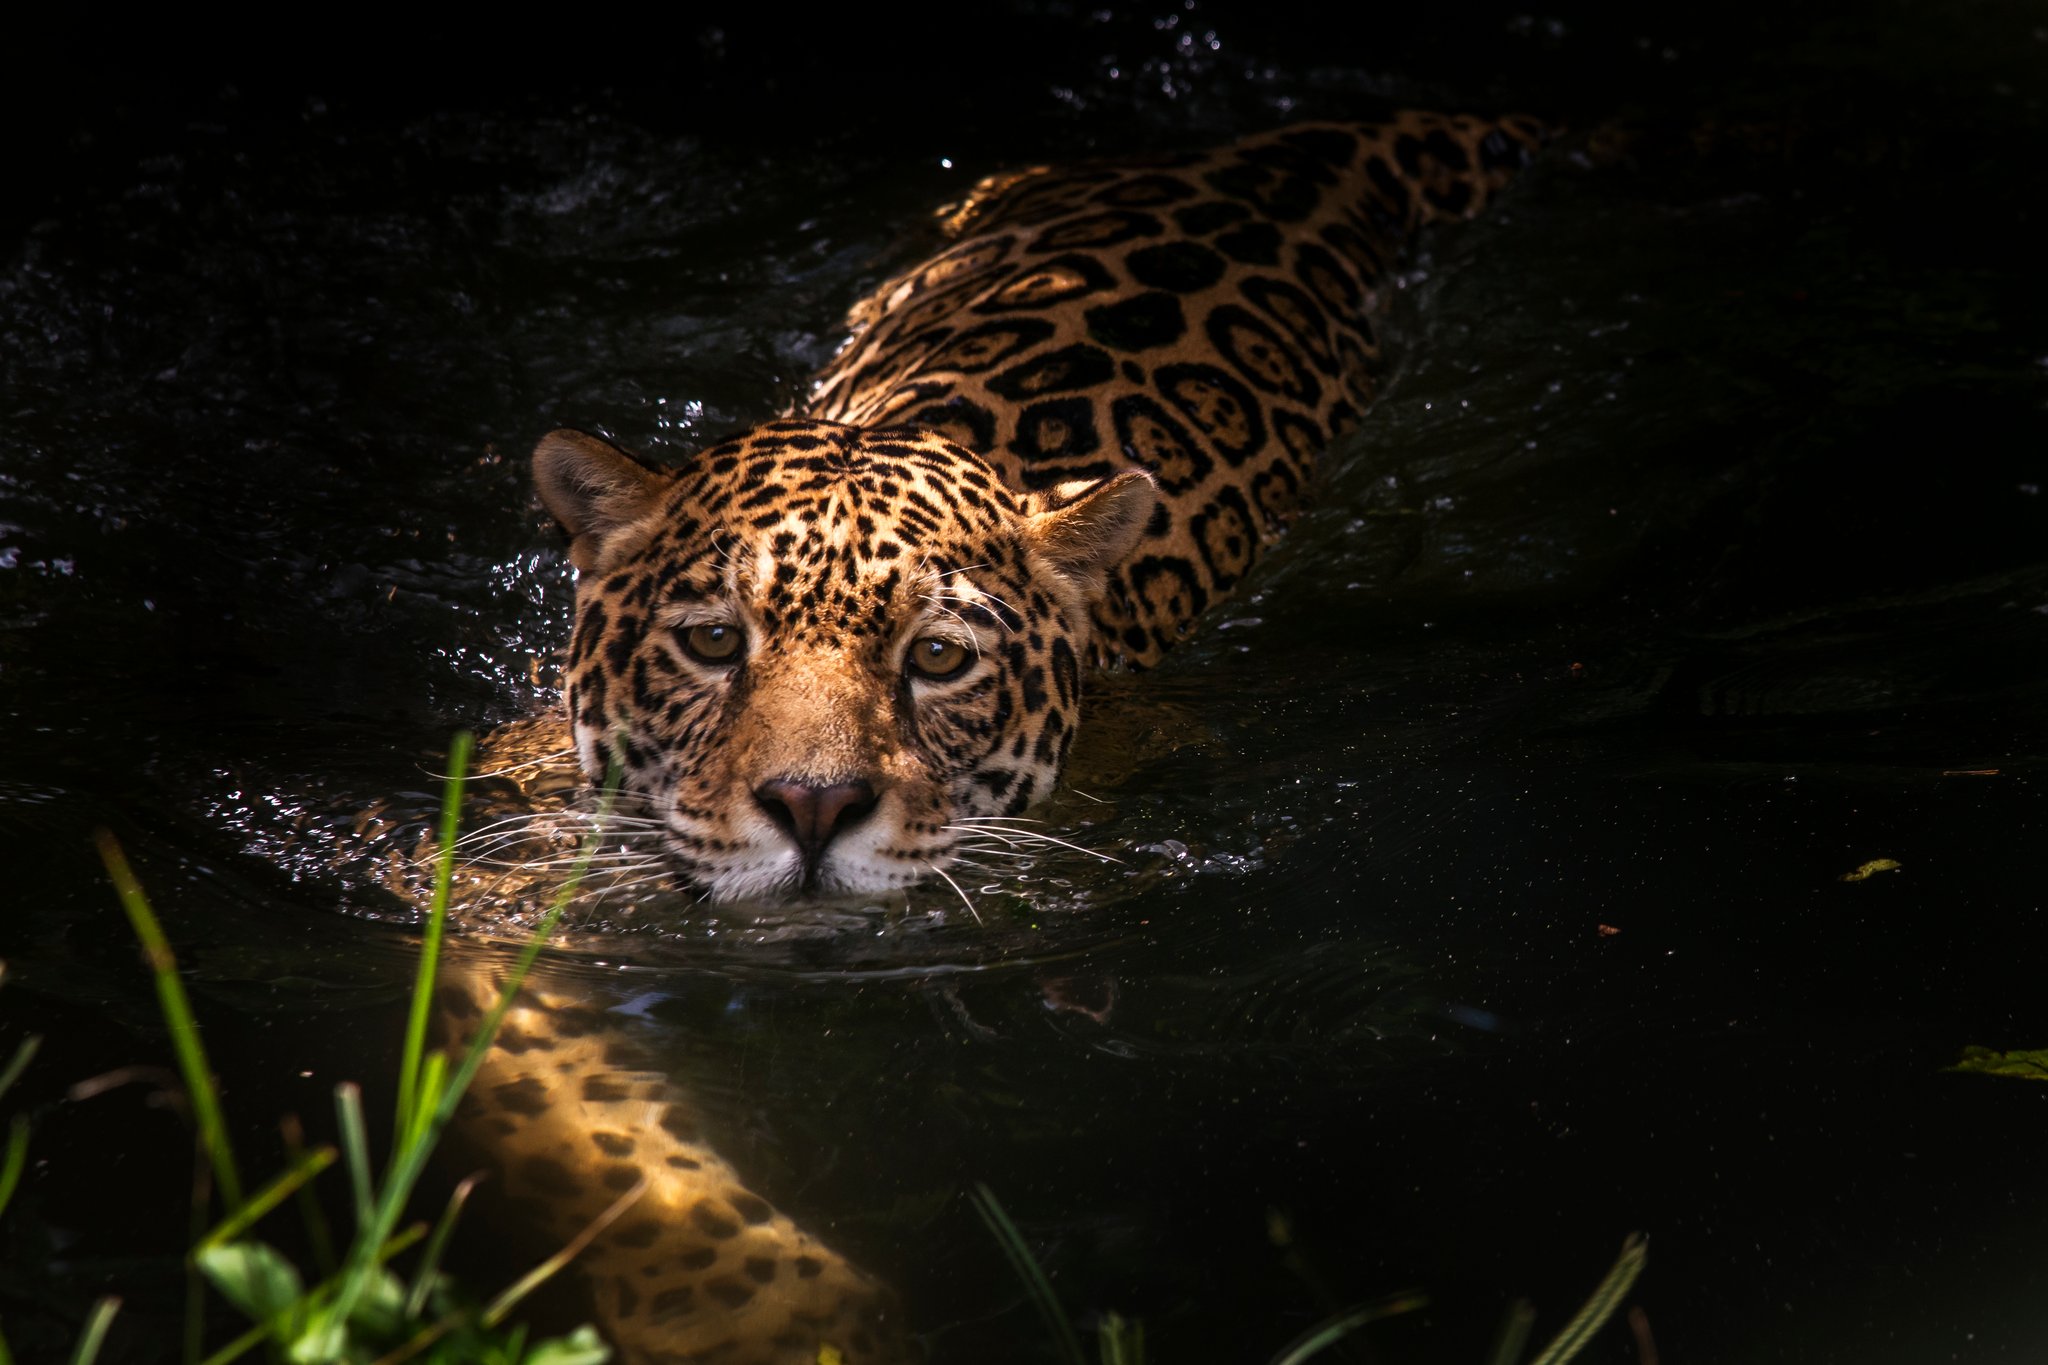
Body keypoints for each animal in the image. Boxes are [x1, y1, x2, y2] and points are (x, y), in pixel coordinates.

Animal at [427, 110, 1550, 1365]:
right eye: (713, 641)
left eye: (936, 659)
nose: (812, 806)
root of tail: (1304, 140)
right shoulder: (490, 885)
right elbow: (593, 1131)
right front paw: (765, 1311)